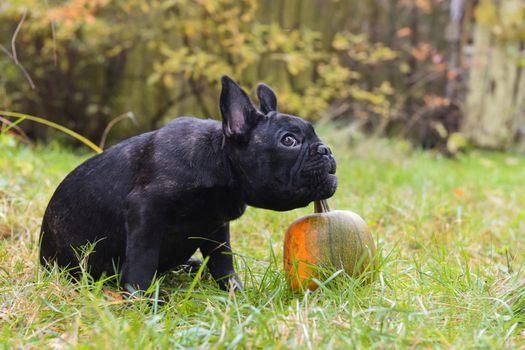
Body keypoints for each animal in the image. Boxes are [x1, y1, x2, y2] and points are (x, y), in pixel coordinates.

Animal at [40, 76, 336, 292]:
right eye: (289, 141)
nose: (326, 150)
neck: (219, 162)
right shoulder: (145, 212)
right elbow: (142, 259)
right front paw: (140, 299)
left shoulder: (216, 227)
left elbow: (223, 262)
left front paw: (235, 292)